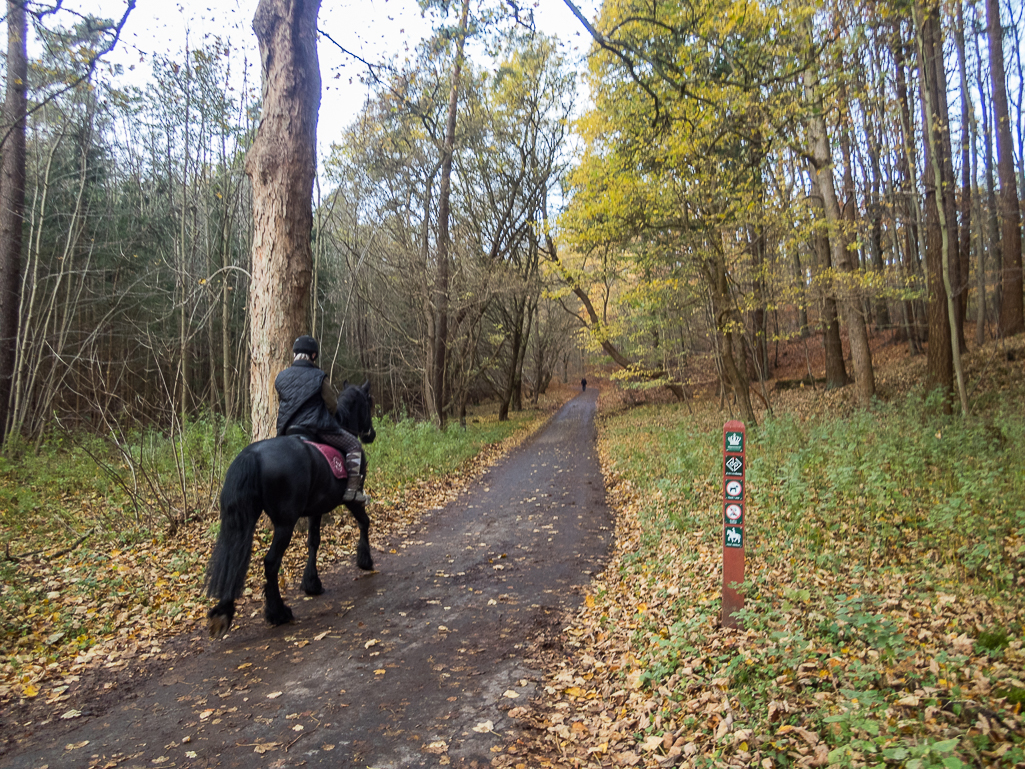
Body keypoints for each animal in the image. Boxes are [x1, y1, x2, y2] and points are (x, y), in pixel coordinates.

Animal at [201, 379, 375, 639]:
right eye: (369, 403)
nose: (371, 434)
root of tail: (253, 455)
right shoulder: (351, 500)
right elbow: (364, 522)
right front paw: (365, 560)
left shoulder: (316, 509)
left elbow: (313, 541)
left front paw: (312, 583)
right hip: (285, 524)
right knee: (271, 563)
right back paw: (278, 612)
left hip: (244, 519)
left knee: (233, 557)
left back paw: (223, 612)